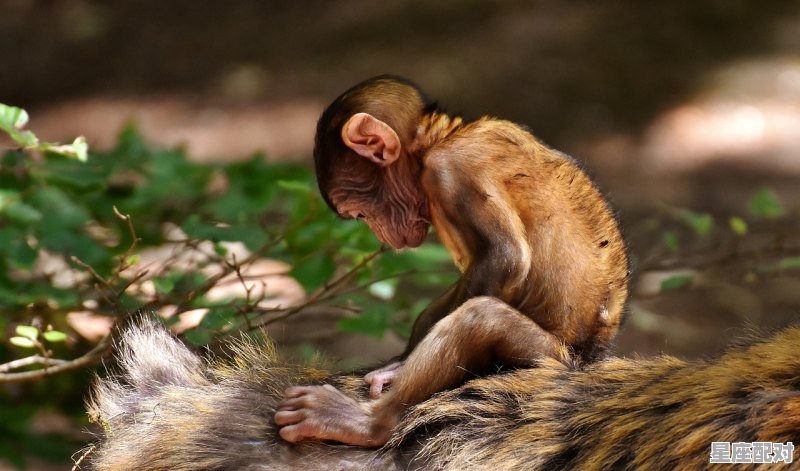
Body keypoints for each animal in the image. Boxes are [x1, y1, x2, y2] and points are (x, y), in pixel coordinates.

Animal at [276, 75, 632, 448]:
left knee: (481, 318)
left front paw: (398, 372)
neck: (440, 140)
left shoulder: (451, 169)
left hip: (548, 358)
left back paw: (371, 423)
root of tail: (593, 359)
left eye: (359, 212)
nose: (381, 234)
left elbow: (504, 256)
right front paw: (399, 361)